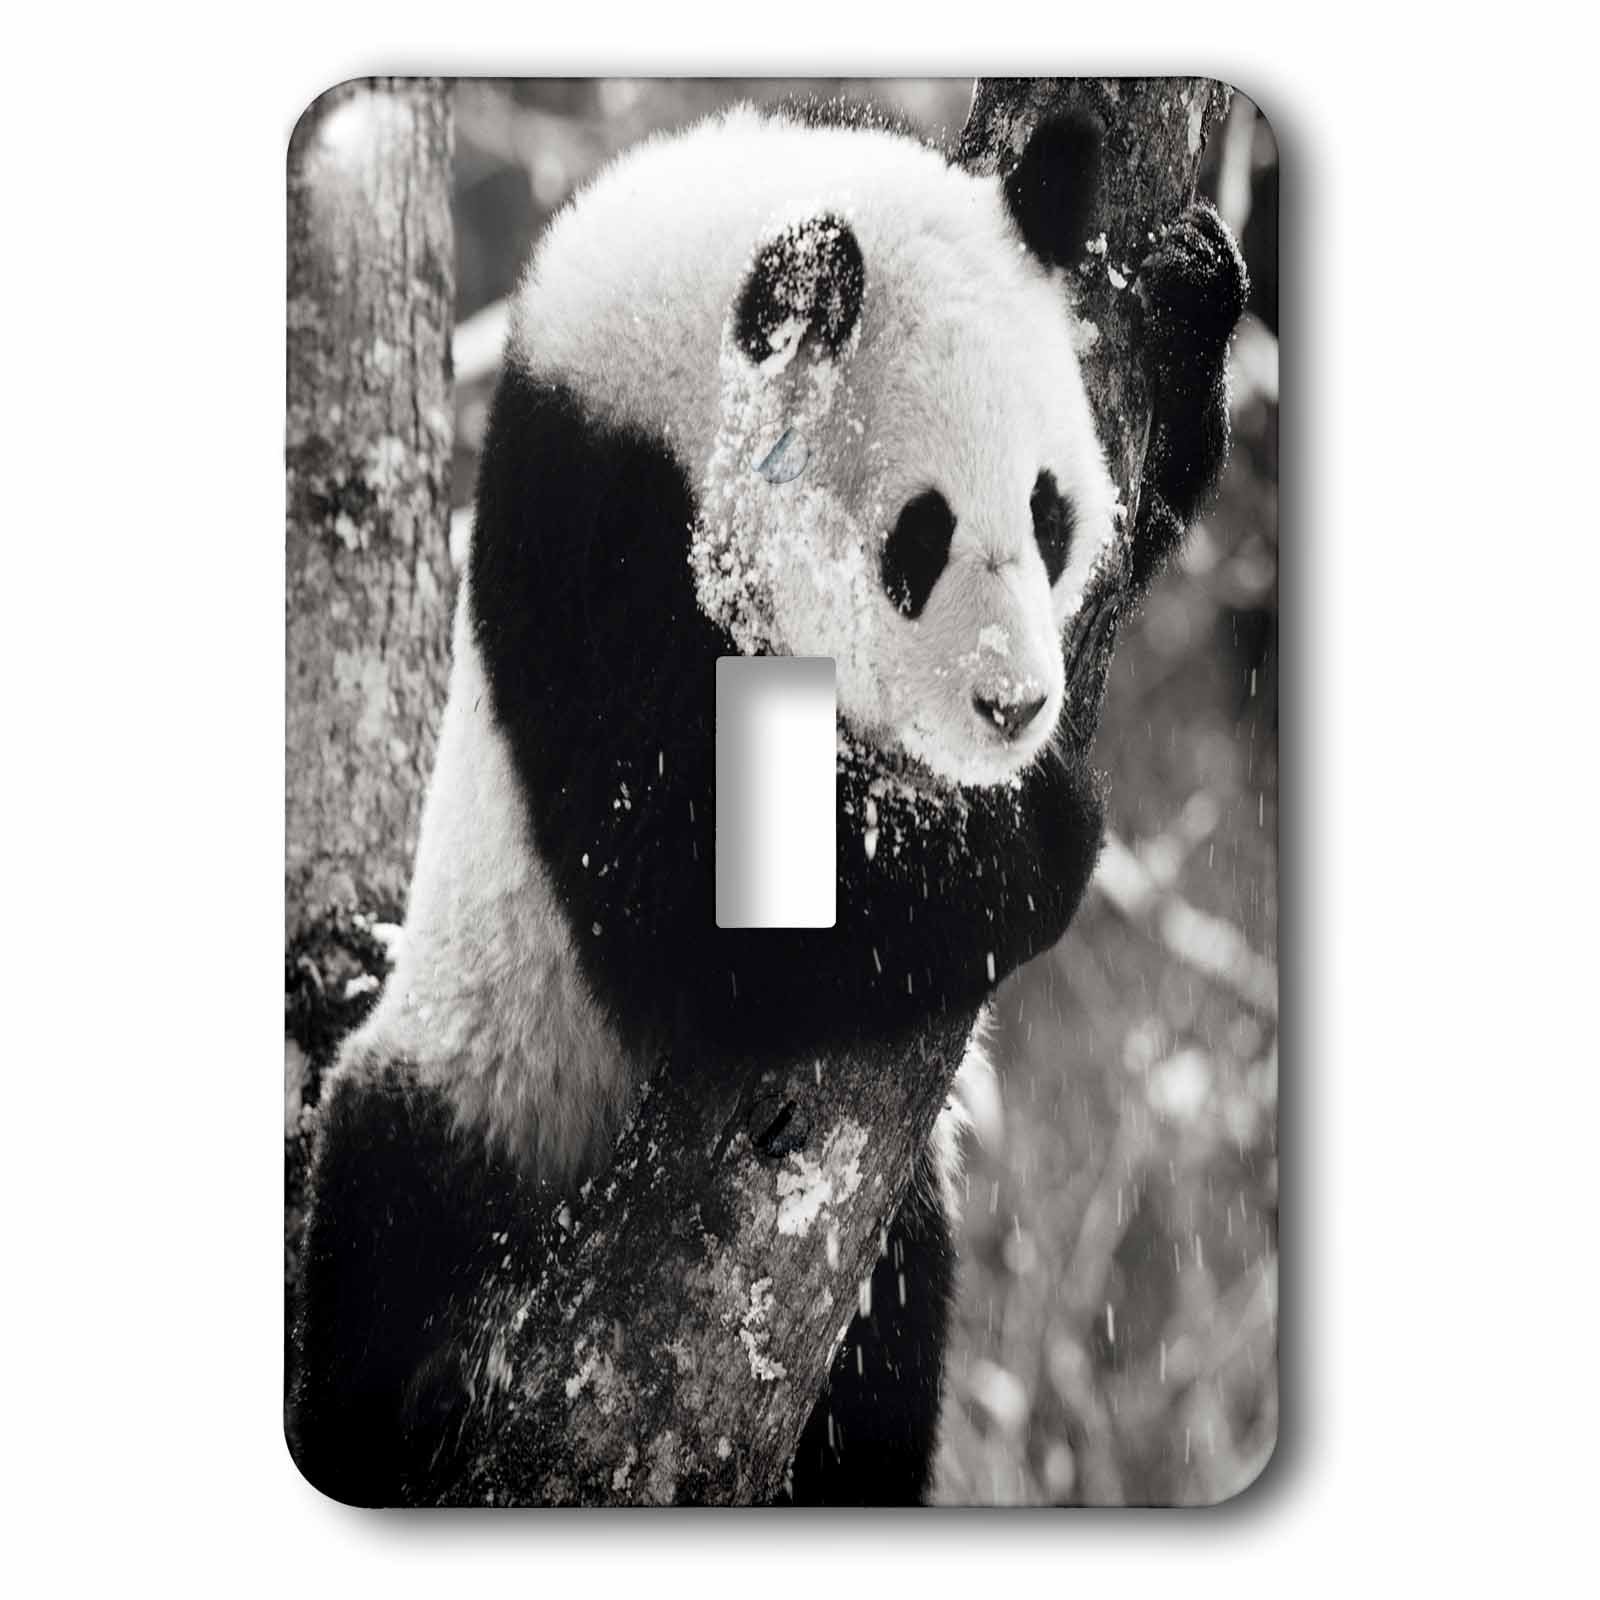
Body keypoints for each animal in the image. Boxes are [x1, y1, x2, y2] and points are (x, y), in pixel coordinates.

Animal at [293, 97, 1245, 1506]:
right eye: (918, 540)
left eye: (1049, 510)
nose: (1016, 707)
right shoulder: (595, 537)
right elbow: (687, 888)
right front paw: (1031, 843)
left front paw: (1185, 305)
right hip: (478, 1083)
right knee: (389, 1251)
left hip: (893, 1252)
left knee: (883, 1368)